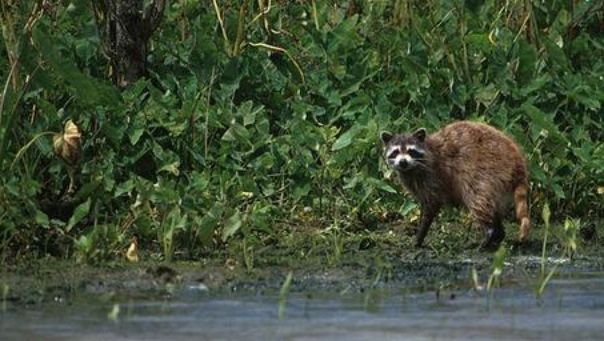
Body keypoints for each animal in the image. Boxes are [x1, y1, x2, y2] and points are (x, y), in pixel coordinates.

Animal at [382, 121, 528, 248]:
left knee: (477, 199)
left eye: (411, 151)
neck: (411, 169)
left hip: (486, 171)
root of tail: (517, 160)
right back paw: (498, 234)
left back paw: (489, 232)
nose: (403, 162)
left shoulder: (433, 176)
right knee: (491, 204)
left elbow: (431, 205)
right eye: (395, 152)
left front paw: (419, 236)